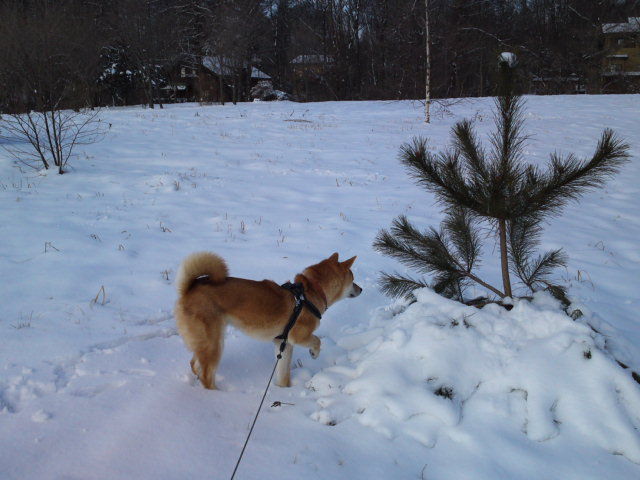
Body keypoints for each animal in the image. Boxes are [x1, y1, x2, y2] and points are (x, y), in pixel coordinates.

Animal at [174, 252, 362, 390]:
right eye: (353, 280)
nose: (361, 289)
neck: (311, 293)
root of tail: (189, 289)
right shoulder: (299, 337)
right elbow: (317, 341)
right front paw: (315, 353)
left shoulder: (283, 343)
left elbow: (283, 373)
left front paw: (284, 390)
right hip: (215, 343)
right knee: (206, 376)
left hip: (207, 342)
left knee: (195, 364)